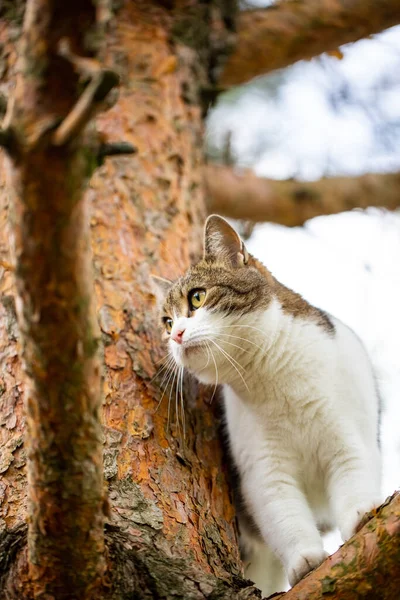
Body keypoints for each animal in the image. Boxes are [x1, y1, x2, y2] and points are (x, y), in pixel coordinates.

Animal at [152, 216, 382, 596]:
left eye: (197, 297)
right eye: (166, 322)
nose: (175, 336)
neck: (272, 375)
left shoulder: (349, 436)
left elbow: (354, 480)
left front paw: (361, 517)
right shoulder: (263, 470)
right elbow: (284, 517)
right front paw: (305, 560)